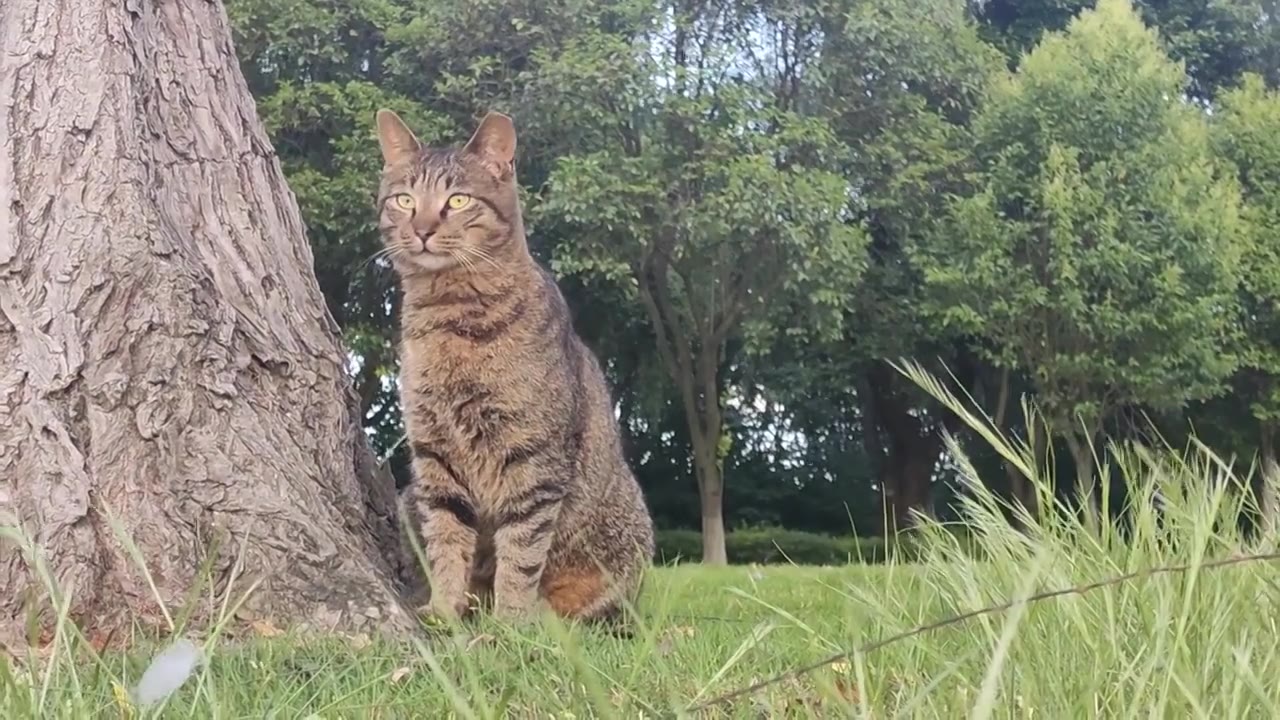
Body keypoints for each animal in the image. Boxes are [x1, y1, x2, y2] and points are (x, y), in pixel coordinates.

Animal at [371, 109, 650, 620]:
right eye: (404, 199)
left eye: (458, 200)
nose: (422, 229)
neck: (449, 316)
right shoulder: (435, 455)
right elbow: (446, 538)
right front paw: (444, 609)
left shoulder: (533, 457)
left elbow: (521, 549)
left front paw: (511, 620)